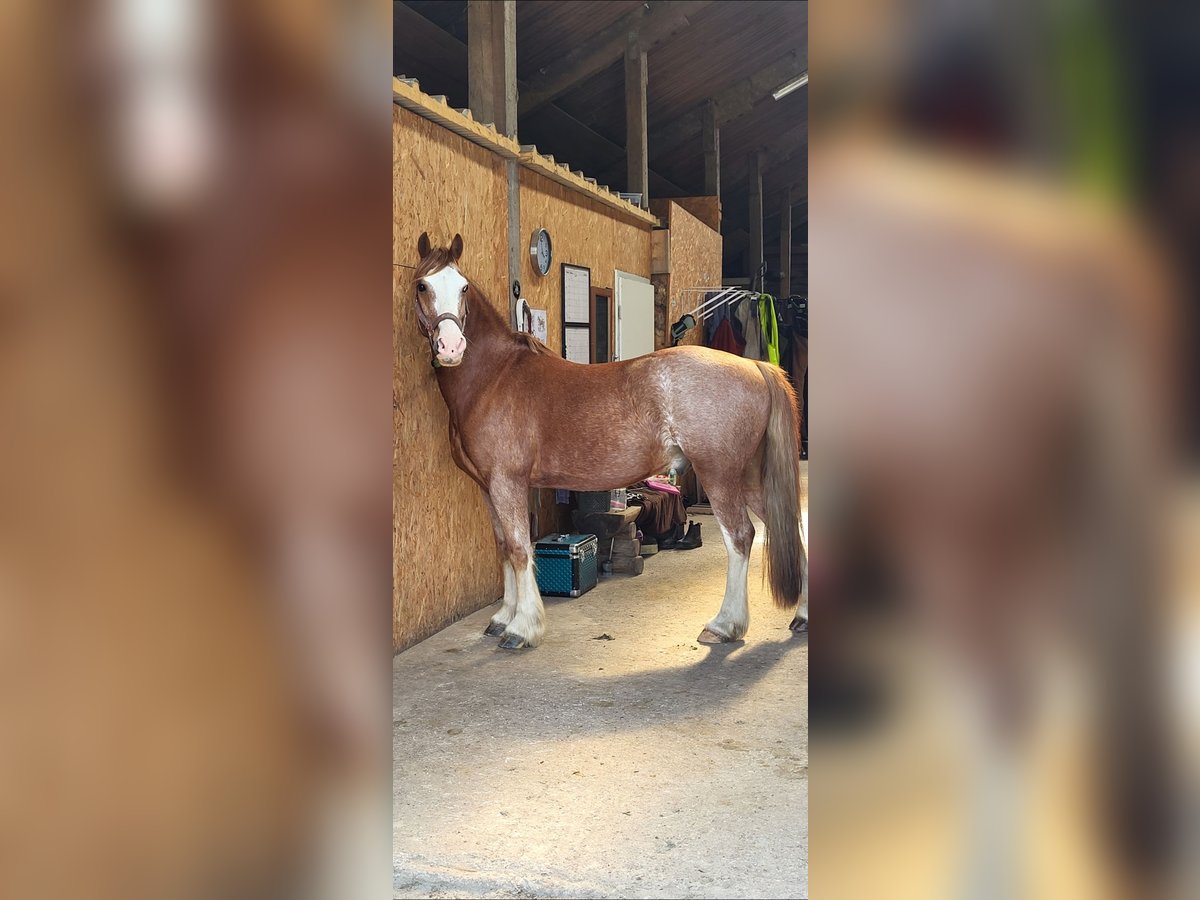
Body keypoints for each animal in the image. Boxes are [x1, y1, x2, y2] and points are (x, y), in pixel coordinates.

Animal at [411, 232, 808, 650]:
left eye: (463, 288)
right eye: (422, 285)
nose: (451, 347)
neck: (495, 376)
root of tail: (756, 366)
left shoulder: (508, 482)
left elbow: (520, 550)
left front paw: (522, 628)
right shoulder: (488, 487)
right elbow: (503, 547)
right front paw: (504, 617)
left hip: (720, 475)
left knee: (741, 537)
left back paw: (724, 625)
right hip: (748, 477)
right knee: (786, 526)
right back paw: (800, 616)